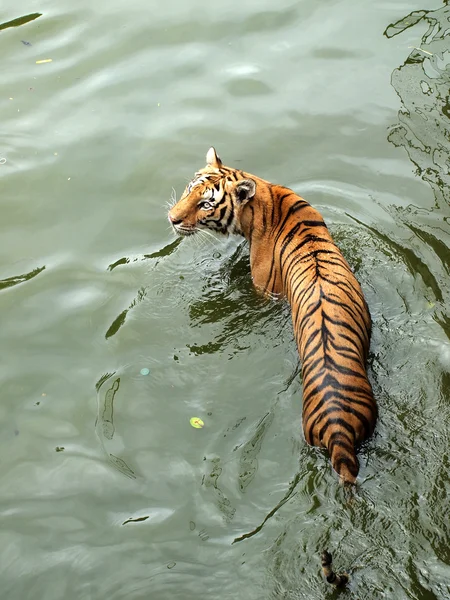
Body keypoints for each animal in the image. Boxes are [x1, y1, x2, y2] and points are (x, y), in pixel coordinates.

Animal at [168, 148, 376, 486]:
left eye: (205, 204)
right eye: (189, 190)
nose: (172, 219)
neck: (265, 200)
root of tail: (339, 430)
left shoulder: (264, 289)